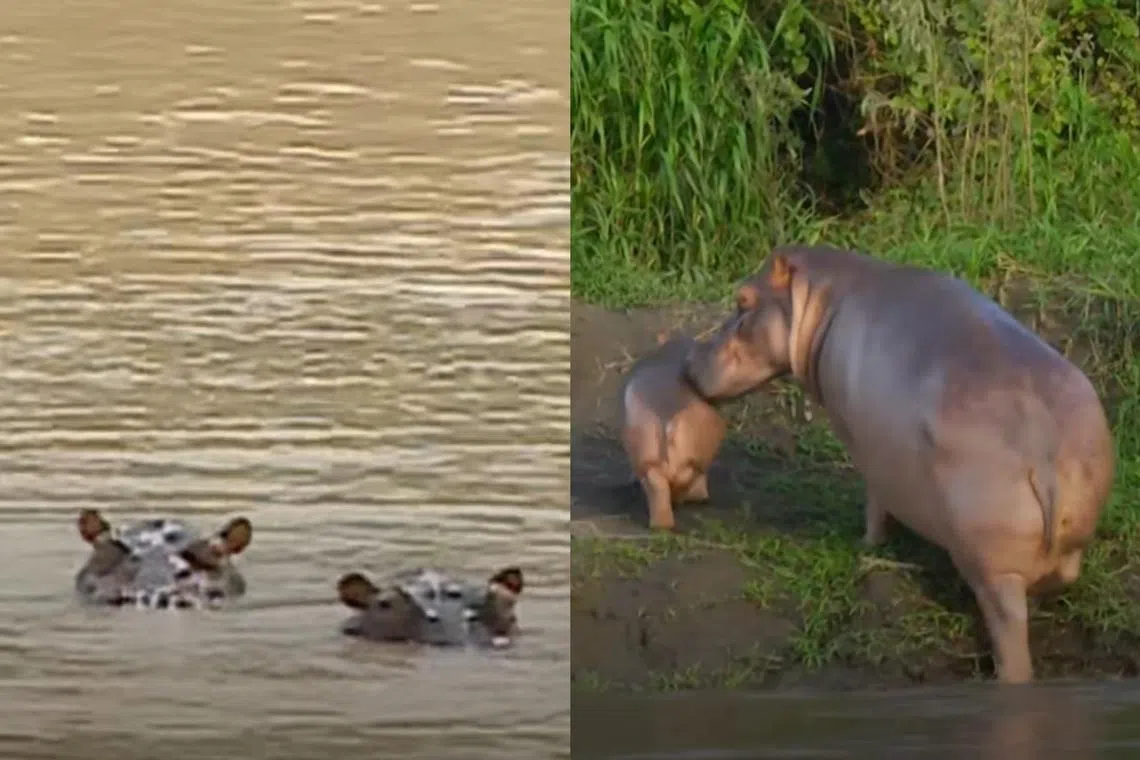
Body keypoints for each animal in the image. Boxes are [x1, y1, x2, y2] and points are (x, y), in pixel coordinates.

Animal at [684, 245, 1115, 684]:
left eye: (742, 299)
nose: (689, 358)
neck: (823, 293)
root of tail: (1042, 446)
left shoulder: (862, 442)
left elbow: (875, 497)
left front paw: (868, 544)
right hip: (1073, 527)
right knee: (1060, 576)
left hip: (996, 570)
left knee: (1010, 640)